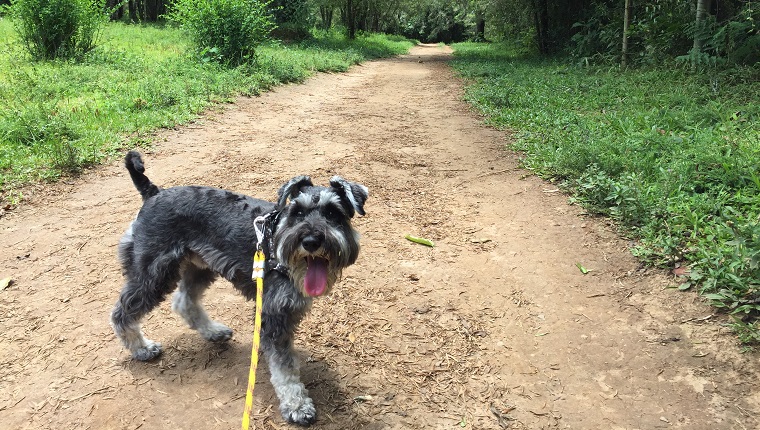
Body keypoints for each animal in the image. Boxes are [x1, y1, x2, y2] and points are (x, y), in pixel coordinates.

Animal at [110, 150, 368, 424]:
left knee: (184, 301)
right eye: (297, 213)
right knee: (122, 312)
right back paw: (142, 348)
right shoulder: (273, 316)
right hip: (153, 273)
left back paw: (213, 331)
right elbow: (284, 368)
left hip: (200, 267)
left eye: (333, 213)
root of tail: (153, 193)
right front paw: (297, 405)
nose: (310, 241)